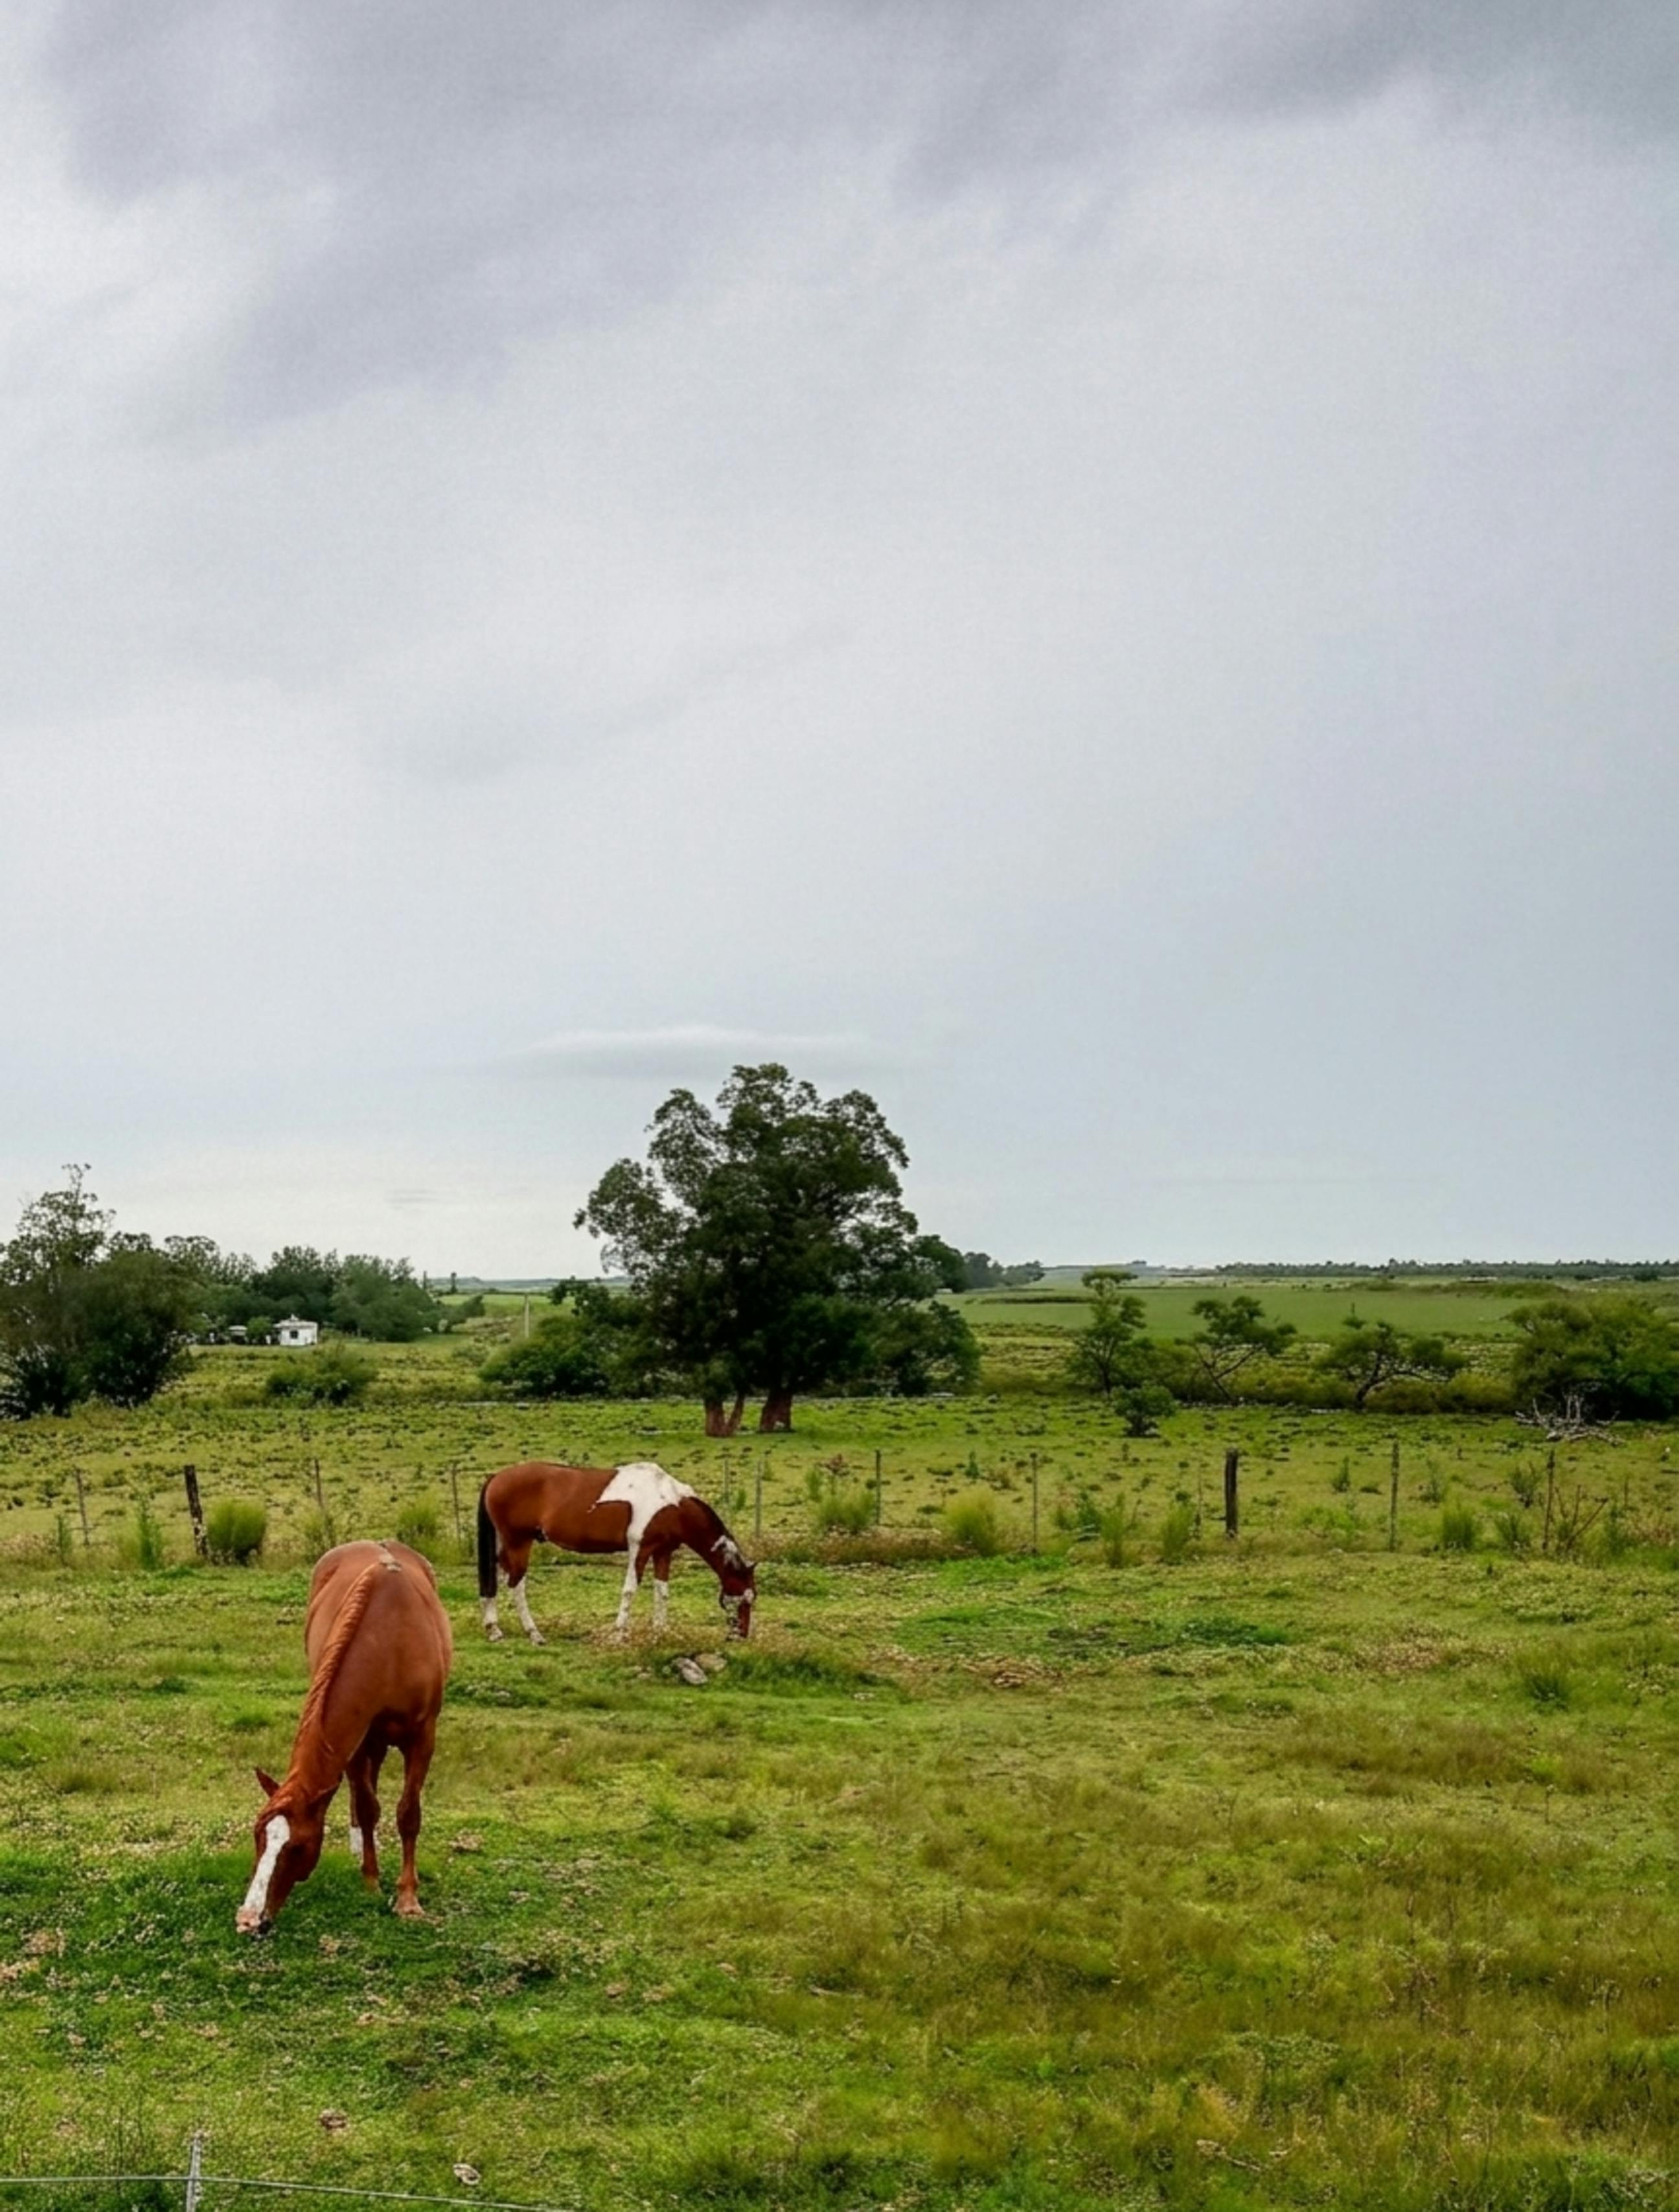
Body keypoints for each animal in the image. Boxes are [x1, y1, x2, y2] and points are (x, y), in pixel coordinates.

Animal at [237, 1539, 452, 1935]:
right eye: (258, 1835)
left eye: (296, 1846)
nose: (248, 1920)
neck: (391, 1644)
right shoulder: (355, 1743)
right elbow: (367, 1807)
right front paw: (371, 1880)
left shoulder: (422, 1737)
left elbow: (408, 1814)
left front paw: (408, 1898)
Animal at [476, 1459, 756, 1644]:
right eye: (746, 1599)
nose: (741, 1635)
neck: (672, 1503)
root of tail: (496, 1478)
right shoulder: (639, 1549)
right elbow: (630, 1590)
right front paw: (619, 1633)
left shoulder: (663, 1553)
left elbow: (662, 1592)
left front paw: (661, 1632)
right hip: (519, 1542)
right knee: (516, 1584)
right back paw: (533, 1633)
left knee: (498, 1578)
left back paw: (493, 1628)